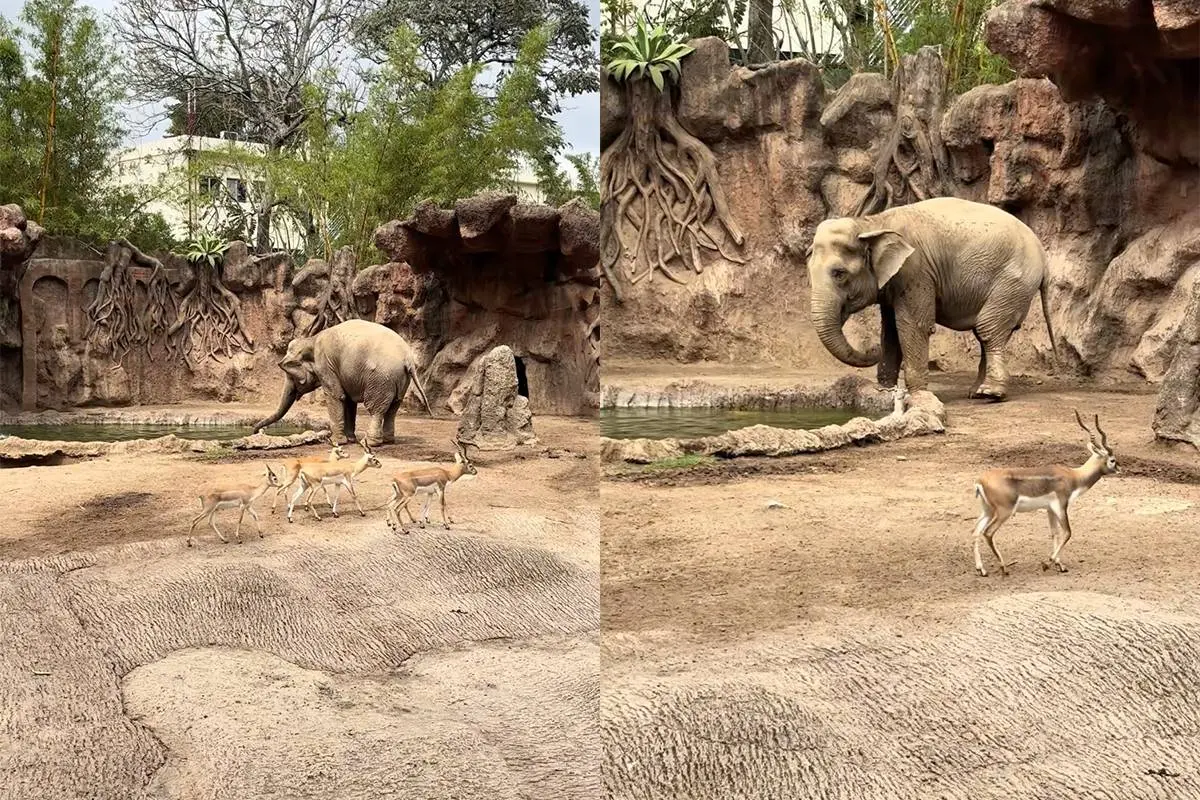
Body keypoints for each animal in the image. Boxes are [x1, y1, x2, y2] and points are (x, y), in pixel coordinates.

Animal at [972, 410, 1119, 577]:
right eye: (1112, 460)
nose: (1119, 469)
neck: (1074, 476)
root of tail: (980, 480)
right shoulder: (1061, 505)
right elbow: (1067, 532)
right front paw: (1048, 564)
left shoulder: (1049, 509)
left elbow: (1055, 533)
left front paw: (1059, 564)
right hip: (1004, 512)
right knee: (988, 532)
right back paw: (1004, 567)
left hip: (988, 510)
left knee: (975, 531)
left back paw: (981, 569)